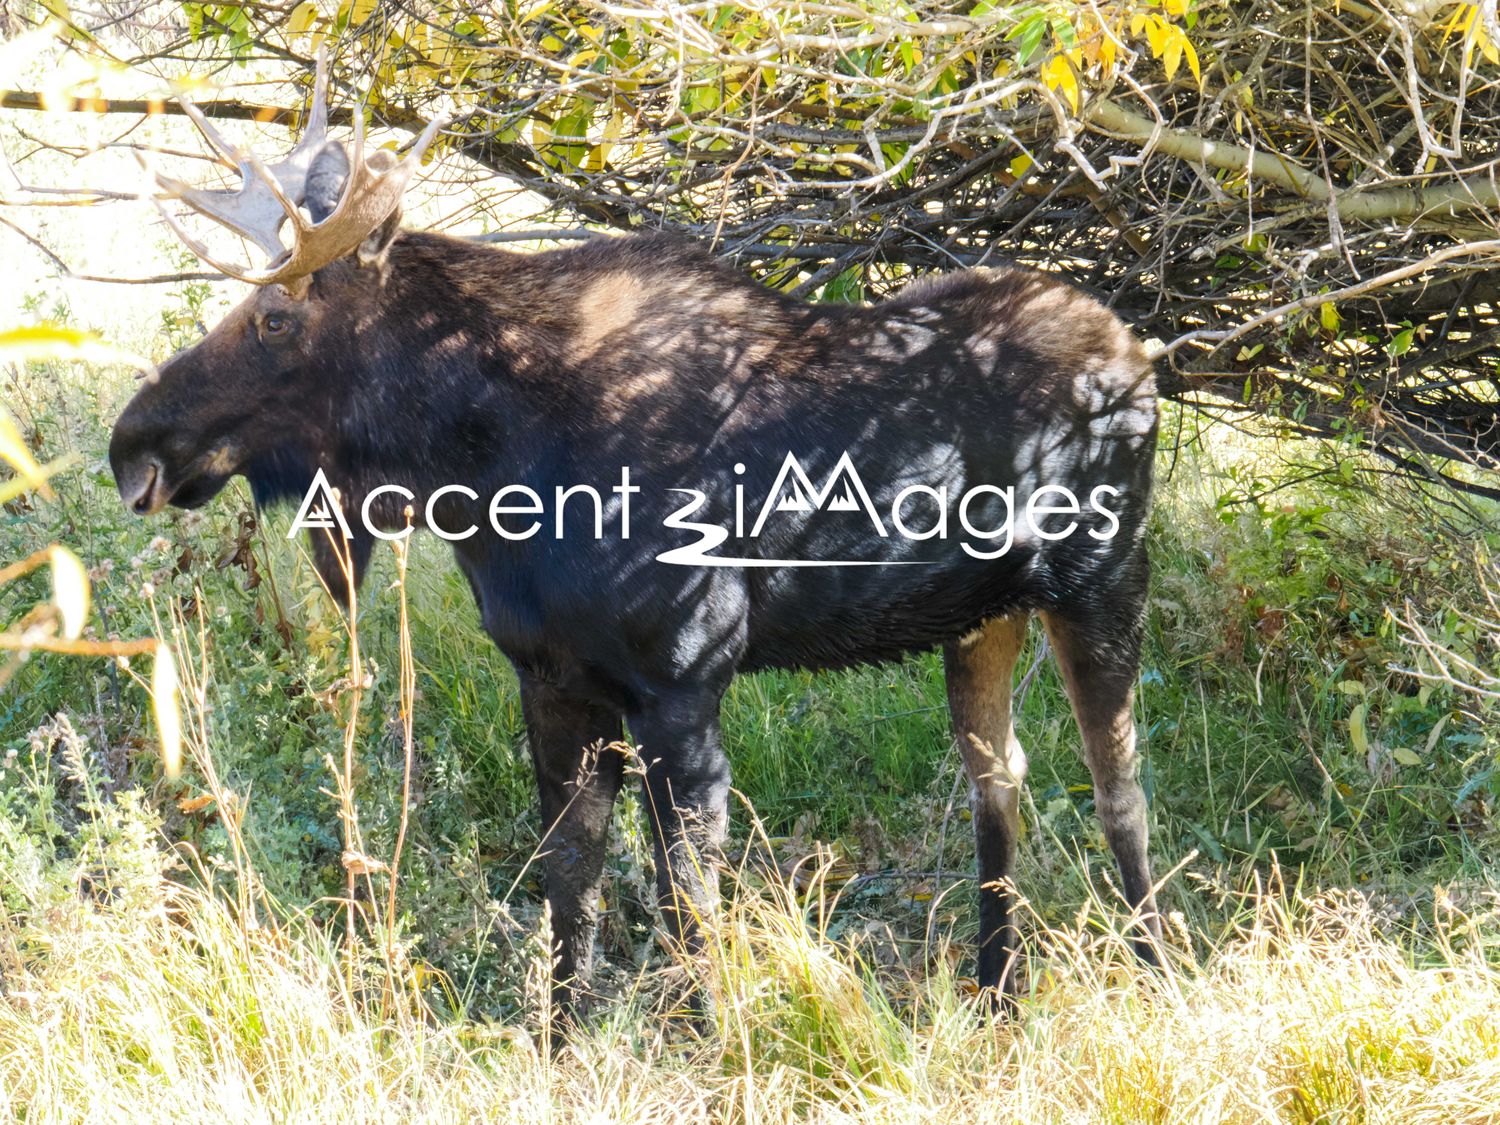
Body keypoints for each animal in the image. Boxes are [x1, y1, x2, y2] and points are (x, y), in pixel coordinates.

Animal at [108, 55, 1163, 1023]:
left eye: (274, 317)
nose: (132, 446)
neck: (486, 474)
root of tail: (1136, 348)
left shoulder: (684, 681)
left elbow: (684, 904)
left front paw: (709, 1046)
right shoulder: (550, 677)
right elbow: (569, 880)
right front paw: (559, 1038)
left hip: (1103, 578)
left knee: (1118, 778)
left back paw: (1156, 968)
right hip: (981, 615)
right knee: (1000, 778)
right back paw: (997, 987)